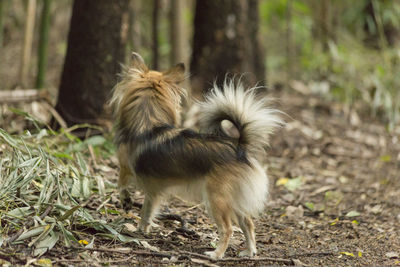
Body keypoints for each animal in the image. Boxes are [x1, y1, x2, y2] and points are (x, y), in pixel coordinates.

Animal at [110, 52, 284, 260]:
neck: (147, 123)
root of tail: (239, 148)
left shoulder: (126, 168)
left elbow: (121, 186)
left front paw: (128, 206)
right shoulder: (153, 191)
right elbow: (147, 211)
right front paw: (141, 230)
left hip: (216, 199)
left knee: (228, 229)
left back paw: (216, 254)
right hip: (233, 197)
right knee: (247, 223)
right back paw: (250, 251)